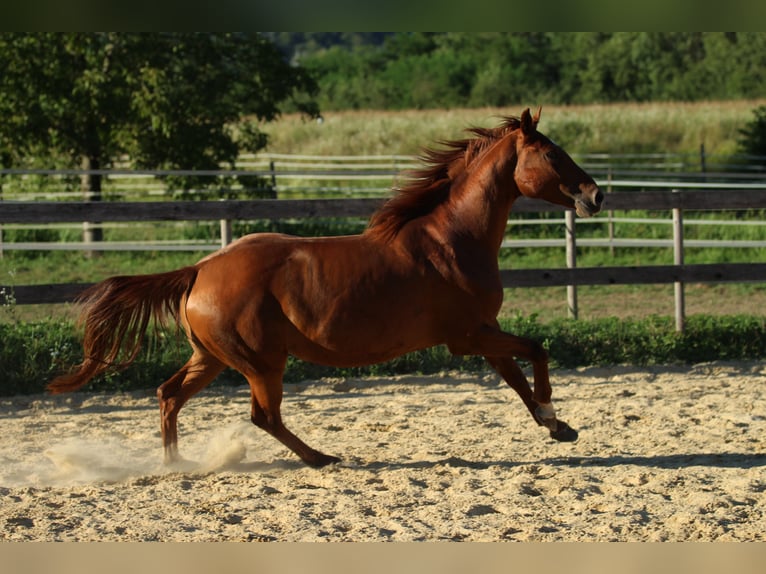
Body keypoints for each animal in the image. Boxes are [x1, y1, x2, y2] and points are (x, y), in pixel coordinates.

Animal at [49, 108, 608, 468]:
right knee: (263, 415)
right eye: (552, 154)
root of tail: (200, 270)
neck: (452, 238)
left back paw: (176, 466)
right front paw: (555, 416)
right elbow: (536, 351)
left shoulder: (482, 333)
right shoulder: (468, 336)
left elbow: (516, 378)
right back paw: (321, 458)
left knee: (169, 395)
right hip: (260, 362)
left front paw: (557, 425)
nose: (597, 195)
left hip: (210, 357)